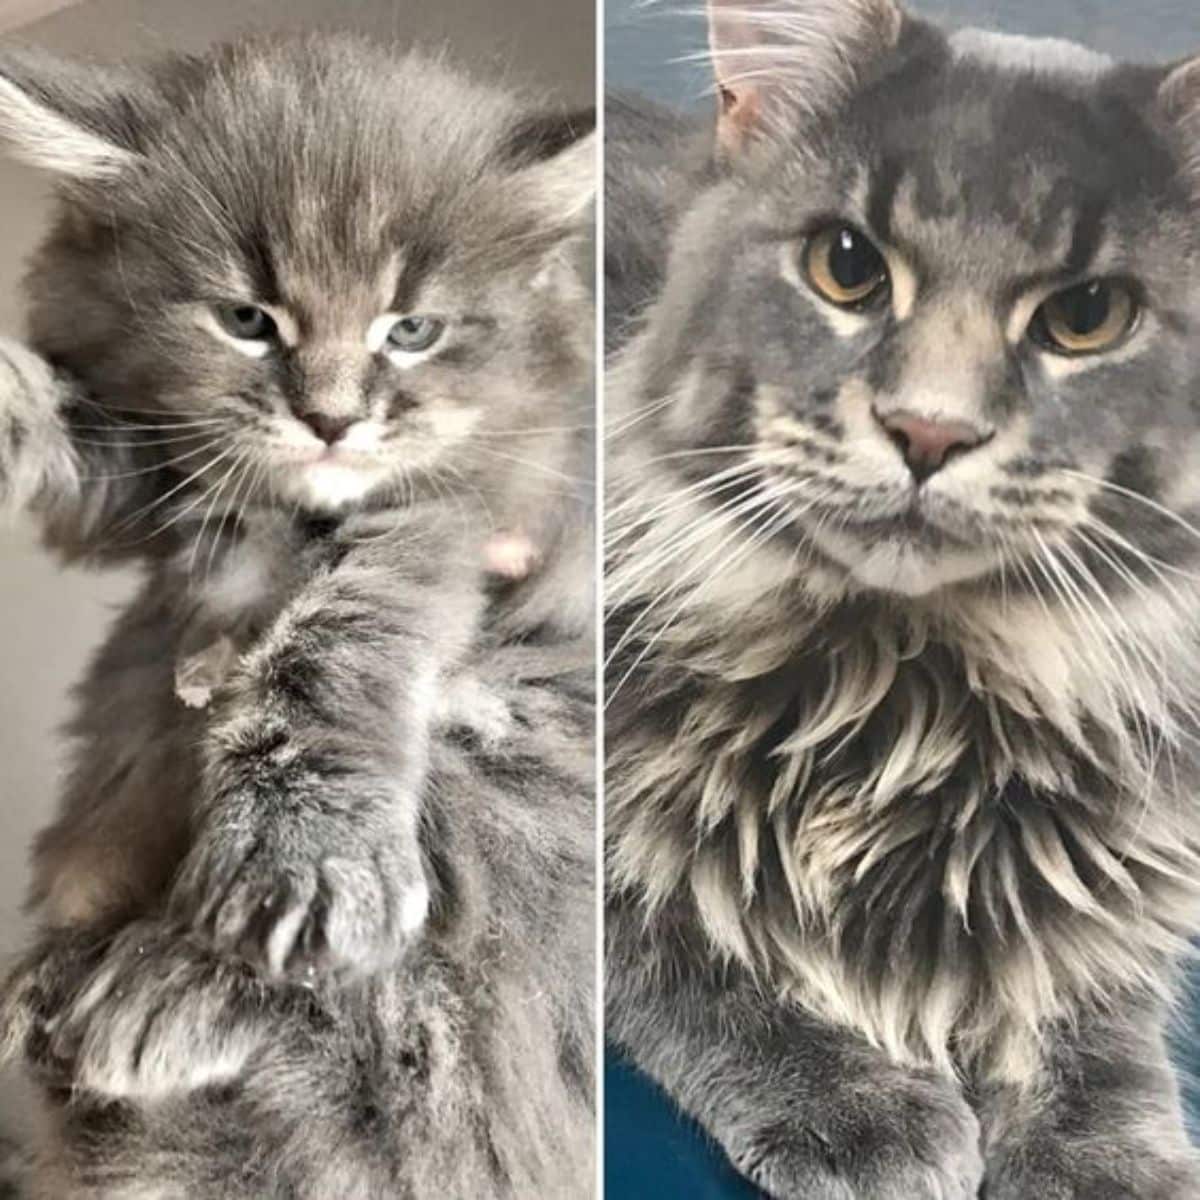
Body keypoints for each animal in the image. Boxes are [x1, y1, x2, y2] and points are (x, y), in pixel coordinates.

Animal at [0, 32, 595, 1195]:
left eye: (411, 330)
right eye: (246, 321)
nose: (329, 419)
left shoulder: (453, 514)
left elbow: (329, 634)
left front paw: (300, 854)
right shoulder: (153, 485)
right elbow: (69, 423)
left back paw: (149, 995)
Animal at [609, 2, 1200, 1200]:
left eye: (1088, 316)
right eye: (846, 268)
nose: (929, 430)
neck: (910, 685)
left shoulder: (1135, 864)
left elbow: (1094, 1021)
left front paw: (1105, 1163)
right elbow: (702, 953)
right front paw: (861, 1105)